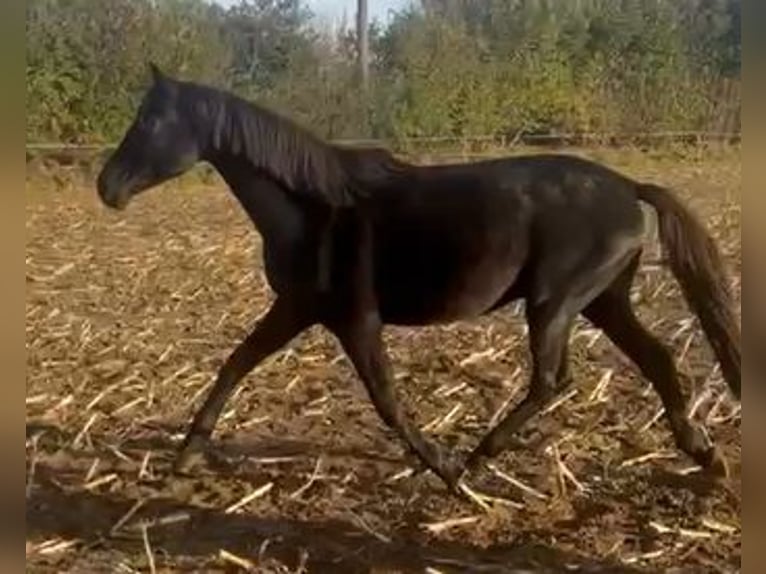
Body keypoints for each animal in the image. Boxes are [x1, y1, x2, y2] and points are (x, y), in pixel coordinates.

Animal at [96, 64, 740, 492]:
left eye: (151, 119)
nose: (107, 187)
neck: (313, 208)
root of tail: (630, 188)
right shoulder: (297, 309)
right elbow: (234, 366)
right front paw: (183, 459)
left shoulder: (356, 320)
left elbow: (386, 400)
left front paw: (444, 467)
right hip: (602, 299)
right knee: (655, 359)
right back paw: (704, 455)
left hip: (554, 302)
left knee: (551, 381)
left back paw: (477, 459)